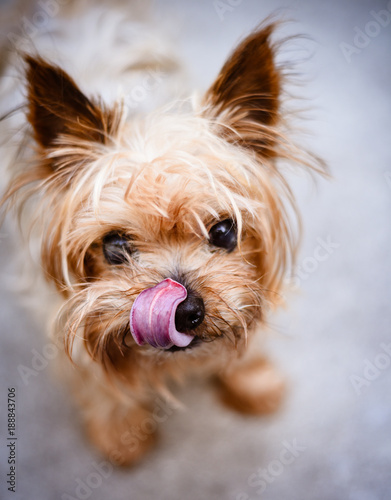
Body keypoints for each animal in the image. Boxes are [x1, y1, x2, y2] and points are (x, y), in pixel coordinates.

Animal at [0, 2, 324, 464]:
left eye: (224, 231)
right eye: (116, 245)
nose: (184, 312)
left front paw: (251, 378)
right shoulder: (51, 298)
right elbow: (90, 368)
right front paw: (119, 427)